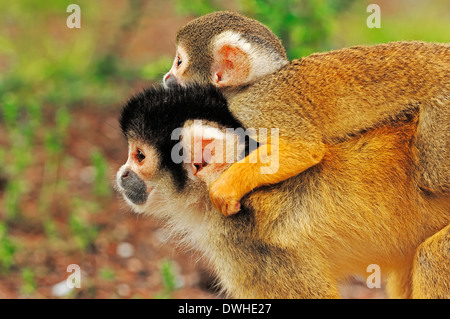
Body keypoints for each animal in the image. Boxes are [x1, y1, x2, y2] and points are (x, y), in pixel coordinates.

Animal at [163, 12, 448, 218]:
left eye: (179, 62)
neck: (257, 83)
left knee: (434, 176)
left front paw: (225, 188)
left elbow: (305, 149)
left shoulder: (258, 105)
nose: (166, 78)